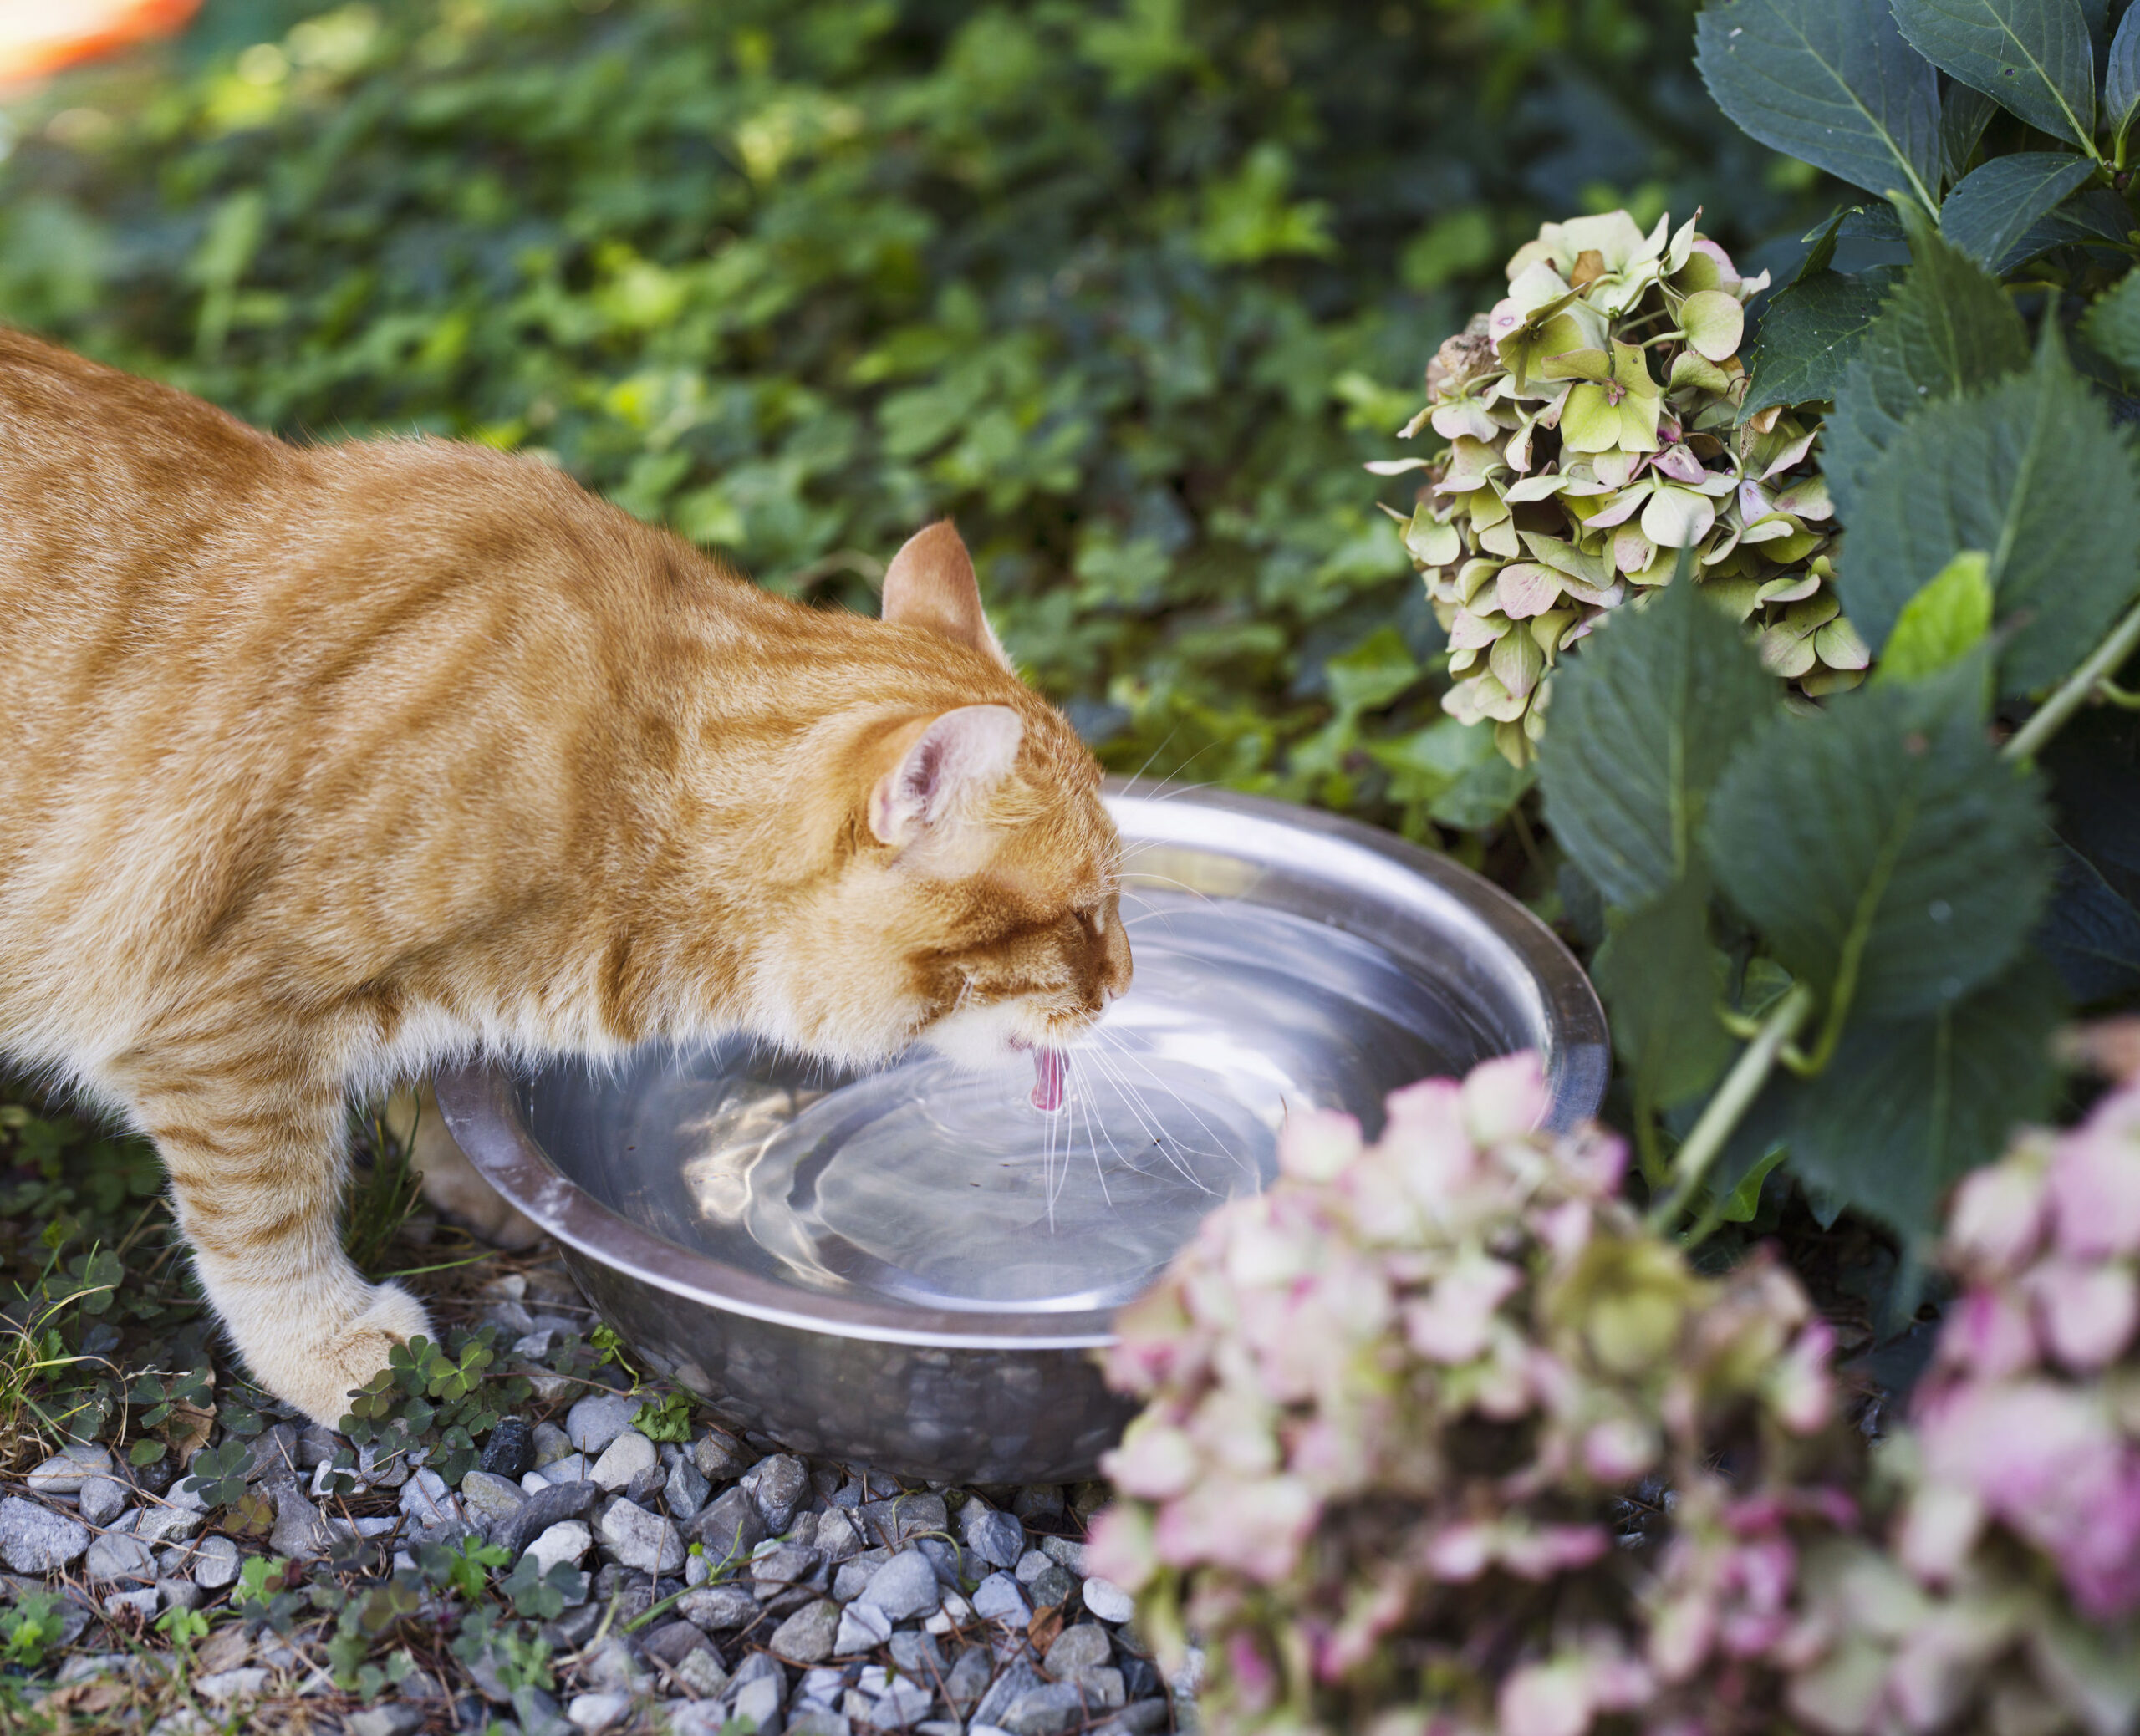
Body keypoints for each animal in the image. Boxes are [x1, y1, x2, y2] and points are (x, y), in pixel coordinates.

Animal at [0, 325, 1138, 1429]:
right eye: (1084, 913)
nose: (1124, 981)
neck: (617, 791)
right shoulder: (216, 1032)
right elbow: (266, 1210)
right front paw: (324, 1348)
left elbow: (423, 1071)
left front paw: (455, 1169)